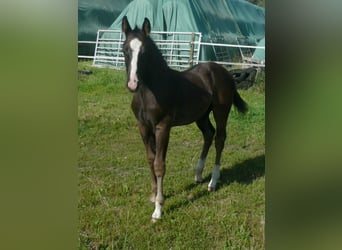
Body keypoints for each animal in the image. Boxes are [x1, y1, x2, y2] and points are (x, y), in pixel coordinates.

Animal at [121, 16, 247, 221]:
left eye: (145, 51)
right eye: (125, 49)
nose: (133, 84)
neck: (149, 91)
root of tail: (225, 72)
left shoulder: (163, 127)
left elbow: (159, 164)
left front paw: (158, 209)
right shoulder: (143, 127)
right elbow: (150, 159)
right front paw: (153, 195)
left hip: (221, 111)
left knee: (219, 139)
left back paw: (212, 182)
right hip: (201, 115)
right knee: (209, 134)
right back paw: (198, 174)